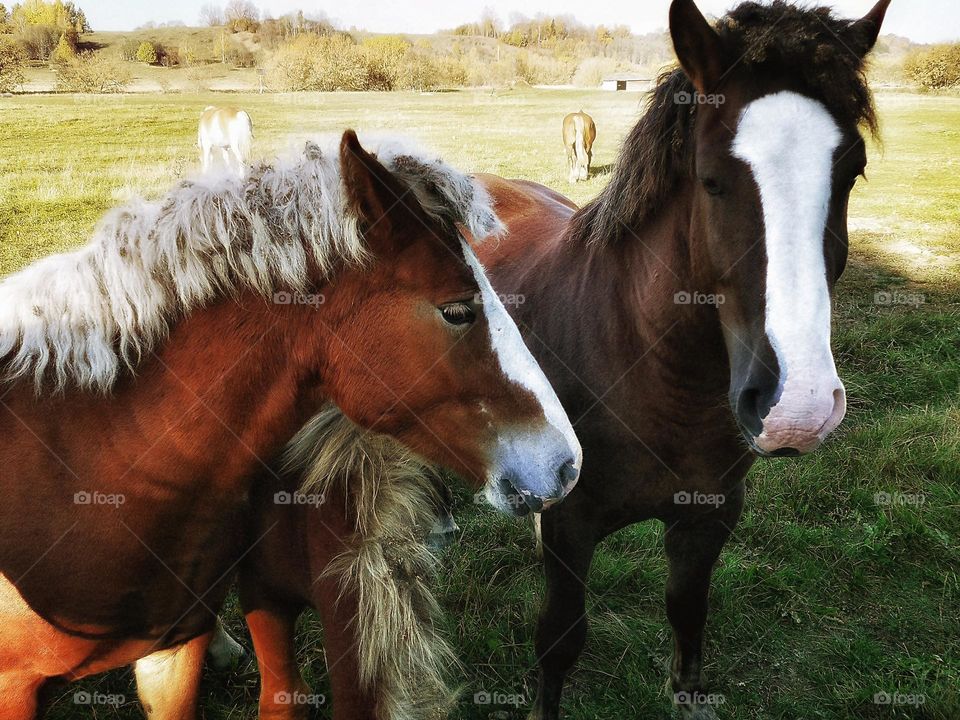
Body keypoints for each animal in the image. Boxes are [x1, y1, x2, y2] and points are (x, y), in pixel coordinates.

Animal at [472, 2, 892, 717]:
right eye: (711, 180)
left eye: (853, 171)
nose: (797, 408)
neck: (656, 379)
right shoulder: (570, 530)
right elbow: (560, 641)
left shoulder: (708, 518)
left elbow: (687, 618)